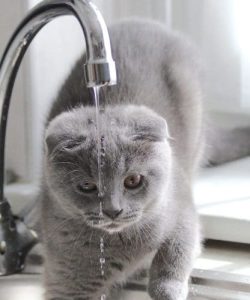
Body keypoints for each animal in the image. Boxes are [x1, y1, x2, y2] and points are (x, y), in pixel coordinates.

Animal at [31, 18, 248, 300]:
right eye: (87, 186)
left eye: (133, 180)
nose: (112, 210)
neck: (120, 243)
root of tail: (144, 22)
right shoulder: (67, 277)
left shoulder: (180, 207)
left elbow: (177, 247)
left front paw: (166, 289)